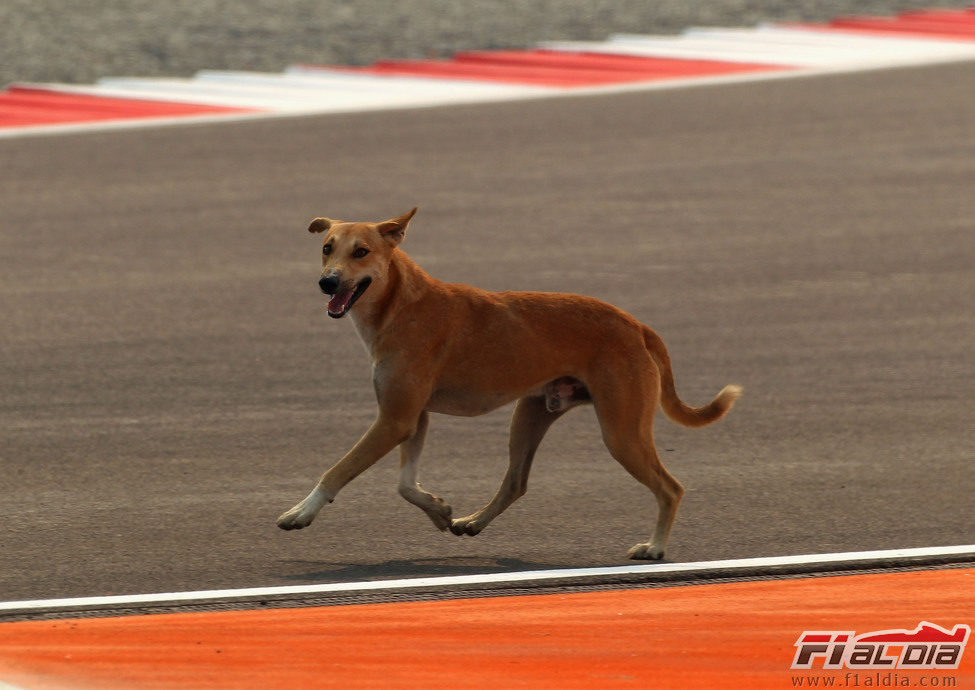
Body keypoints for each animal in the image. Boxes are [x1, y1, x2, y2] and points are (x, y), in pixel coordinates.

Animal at [274, 207, 740, 556]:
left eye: (362, 251)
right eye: (327, 248)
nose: (327, 282)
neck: (400, 304)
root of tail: (637, 325)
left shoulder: (394, 420)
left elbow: (338, 470)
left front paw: (300, 513)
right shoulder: (411, 417)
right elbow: (406, 484)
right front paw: (438, 509)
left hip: (621, 433)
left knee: (671, 488)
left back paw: (655, 547)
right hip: (530, 415)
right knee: (516, 482)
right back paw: (474, 521)